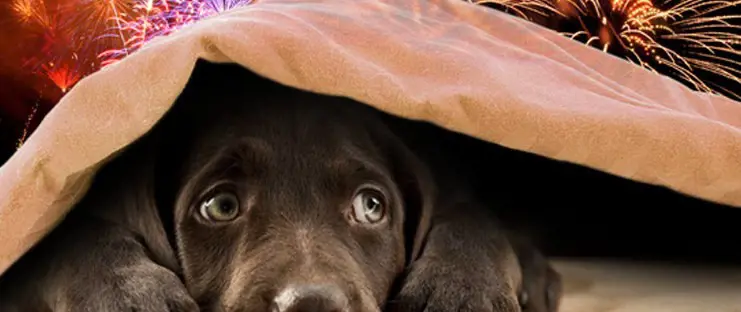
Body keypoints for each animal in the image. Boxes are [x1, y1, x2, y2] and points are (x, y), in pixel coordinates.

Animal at [0, 61, 556, 312]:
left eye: (371, 206)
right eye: (221, 205)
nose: (313, 306)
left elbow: (475, 219)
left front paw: (461, 289)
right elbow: (69, 238)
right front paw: (127, 294)